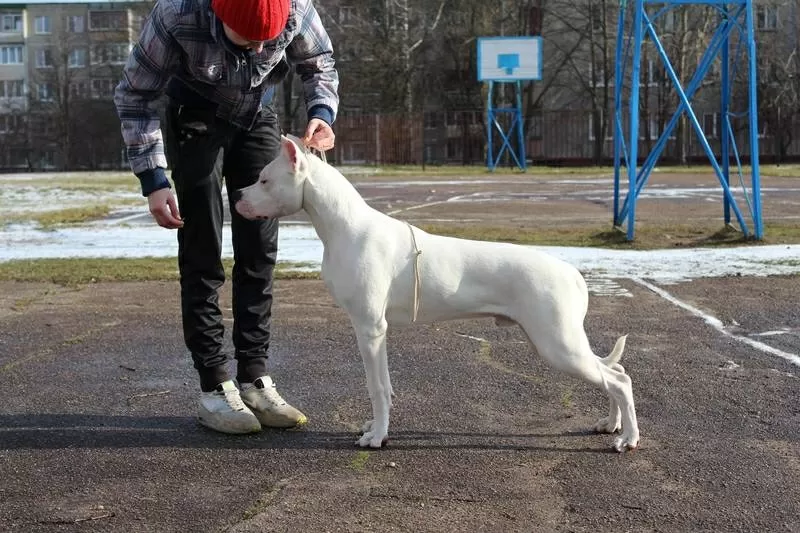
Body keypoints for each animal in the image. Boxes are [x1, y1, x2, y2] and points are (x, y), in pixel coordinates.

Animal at [234, 135, 640, 450]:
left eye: (265, 180)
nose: (237, 194)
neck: (343, 226)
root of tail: (572, 273)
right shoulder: (377, 332)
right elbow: (384, 384)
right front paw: (377, 428)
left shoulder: (369, 329)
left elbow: (375, 386)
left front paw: (376, 438)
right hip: (562, 341)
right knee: (615, 369)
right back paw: (611, 424)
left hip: (558, 345)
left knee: (620, 380)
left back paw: (628, 439)